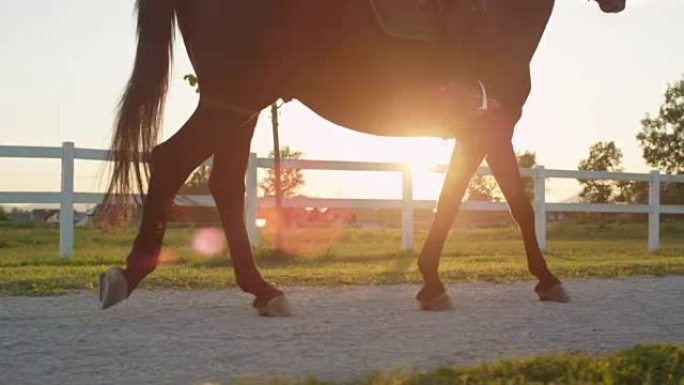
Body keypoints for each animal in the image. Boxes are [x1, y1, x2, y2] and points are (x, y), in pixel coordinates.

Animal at [99, 0, 628, 316]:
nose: (616, 4)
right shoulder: (490, 126)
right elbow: (496, 201)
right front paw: (541, 279)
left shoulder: (479, 131)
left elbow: (472, 198)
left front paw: (435, 279)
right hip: (234, 100)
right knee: (171, 161)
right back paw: (134, 275)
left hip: (237, 106)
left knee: (223, 183)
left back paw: (261, 289)